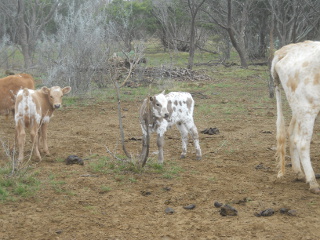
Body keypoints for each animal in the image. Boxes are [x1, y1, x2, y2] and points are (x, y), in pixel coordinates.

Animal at [272, 39, 320, 193]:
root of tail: (287, 50)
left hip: (298, 108)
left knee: (292, 134)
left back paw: (299, 173)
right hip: (308, 109)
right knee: (302, 143)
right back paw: (312, 182)